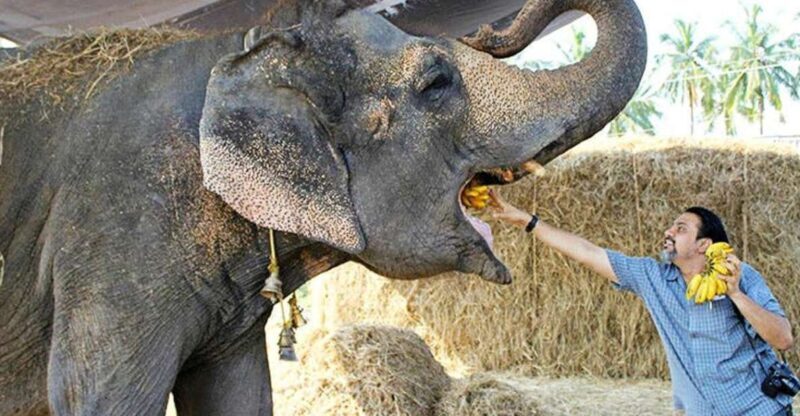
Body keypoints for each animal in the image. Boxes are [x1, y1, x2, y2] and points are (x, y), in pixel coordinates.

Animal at [0, 0, 646, 414]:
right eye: (437, 82)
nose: (489, 28)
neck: (248, 50)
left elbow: (239, 396)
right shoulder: (115, 241)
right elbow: (100, 395)